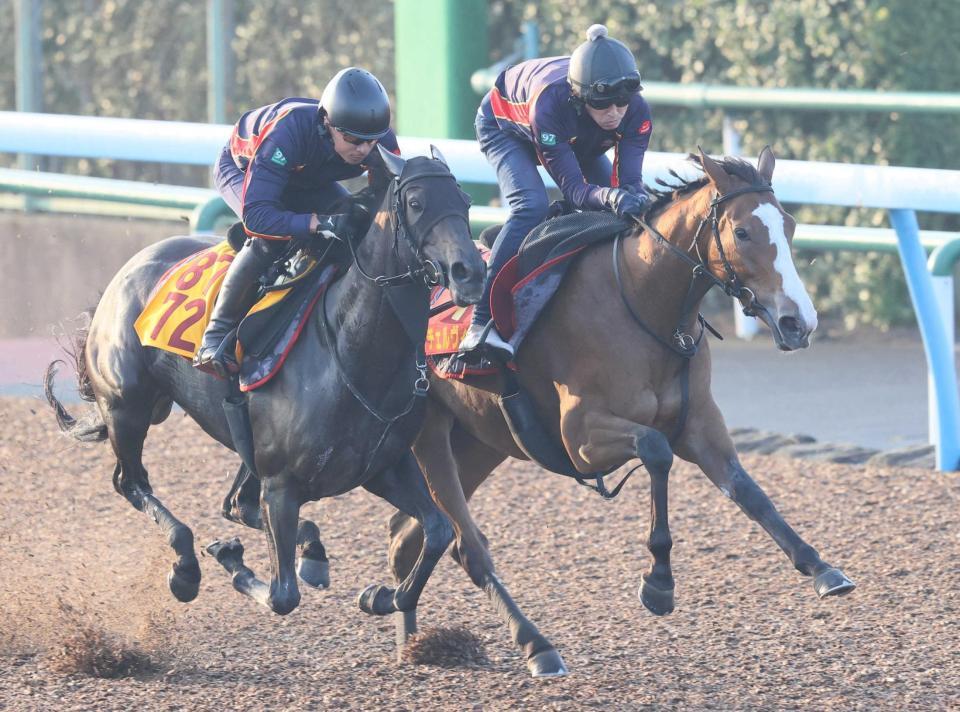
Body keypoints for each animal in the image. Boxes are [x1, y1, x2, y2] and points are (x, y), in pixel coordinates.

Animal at [46, 149, 484, 616]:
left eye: (464, 200)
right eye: (416, 203)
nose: (471, 272)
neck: (351, 352)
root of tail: (126, 271)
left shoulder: (385, 468)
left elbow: (438, 532)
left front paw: (379, 593)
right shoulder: (281, 485)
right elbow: (282, 595)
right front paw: (231, 560)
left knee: (236, 504)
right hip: (127, 406)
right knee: (132, 483)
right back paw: (186, 567)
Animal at [388, 147, 856, 676]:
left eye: (790, 226)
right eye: (742, 232)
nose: (800, 323)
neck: (642, 300)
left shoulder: (700, 425)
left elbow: (749, 492)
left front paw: (822, 568)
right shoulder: (581, 438)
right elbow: (655, 451)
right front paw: (659, 583)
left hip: (479, 440)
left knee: (408, 534)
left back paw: (406, 634)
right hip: (429, 434)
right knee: (465, 544)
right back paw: (534, 646)